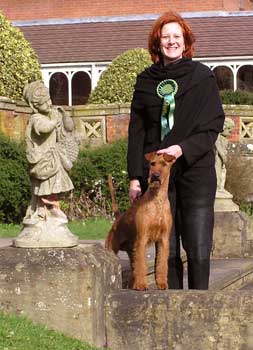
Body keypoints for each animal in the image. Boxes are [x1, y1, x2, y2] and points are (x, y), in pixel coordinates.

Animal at [105, 152, 175, 292]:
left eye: (164, 164)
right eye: (152, 164)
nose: (155, 176)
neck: (157, 200)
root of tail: (118, 218)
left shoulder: (164, 239)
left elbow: (162, 263)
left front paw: (162, 283)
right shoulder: (142, 238)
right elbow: (142, 265)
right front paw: (142, 285)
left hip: (132, 251)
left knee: (133, 271)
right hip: (112, 248)